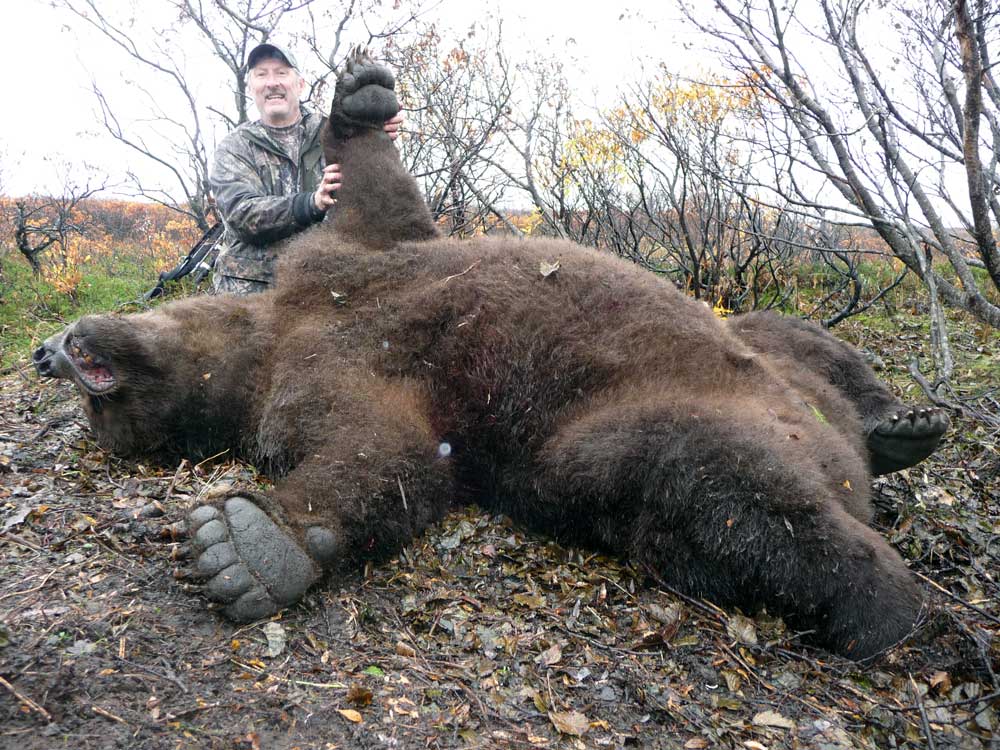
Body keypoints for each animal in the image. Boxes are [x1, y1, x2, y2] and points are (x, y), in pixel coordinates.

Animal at [33, 50, 950, 660]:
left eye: (97, 397)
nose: (50, 352)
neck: (268, 334)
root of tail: (841, 462)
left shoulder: (345, 261)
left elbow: (376, 196)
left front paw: (361, 97)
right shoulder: (318, 376)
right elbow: (388, 455)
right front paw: (245, 545)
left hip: (768, 363)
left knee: (786, 339)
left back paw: (903, 427)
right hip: (611, 442)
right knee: (706, 489)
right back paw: (888, 602)